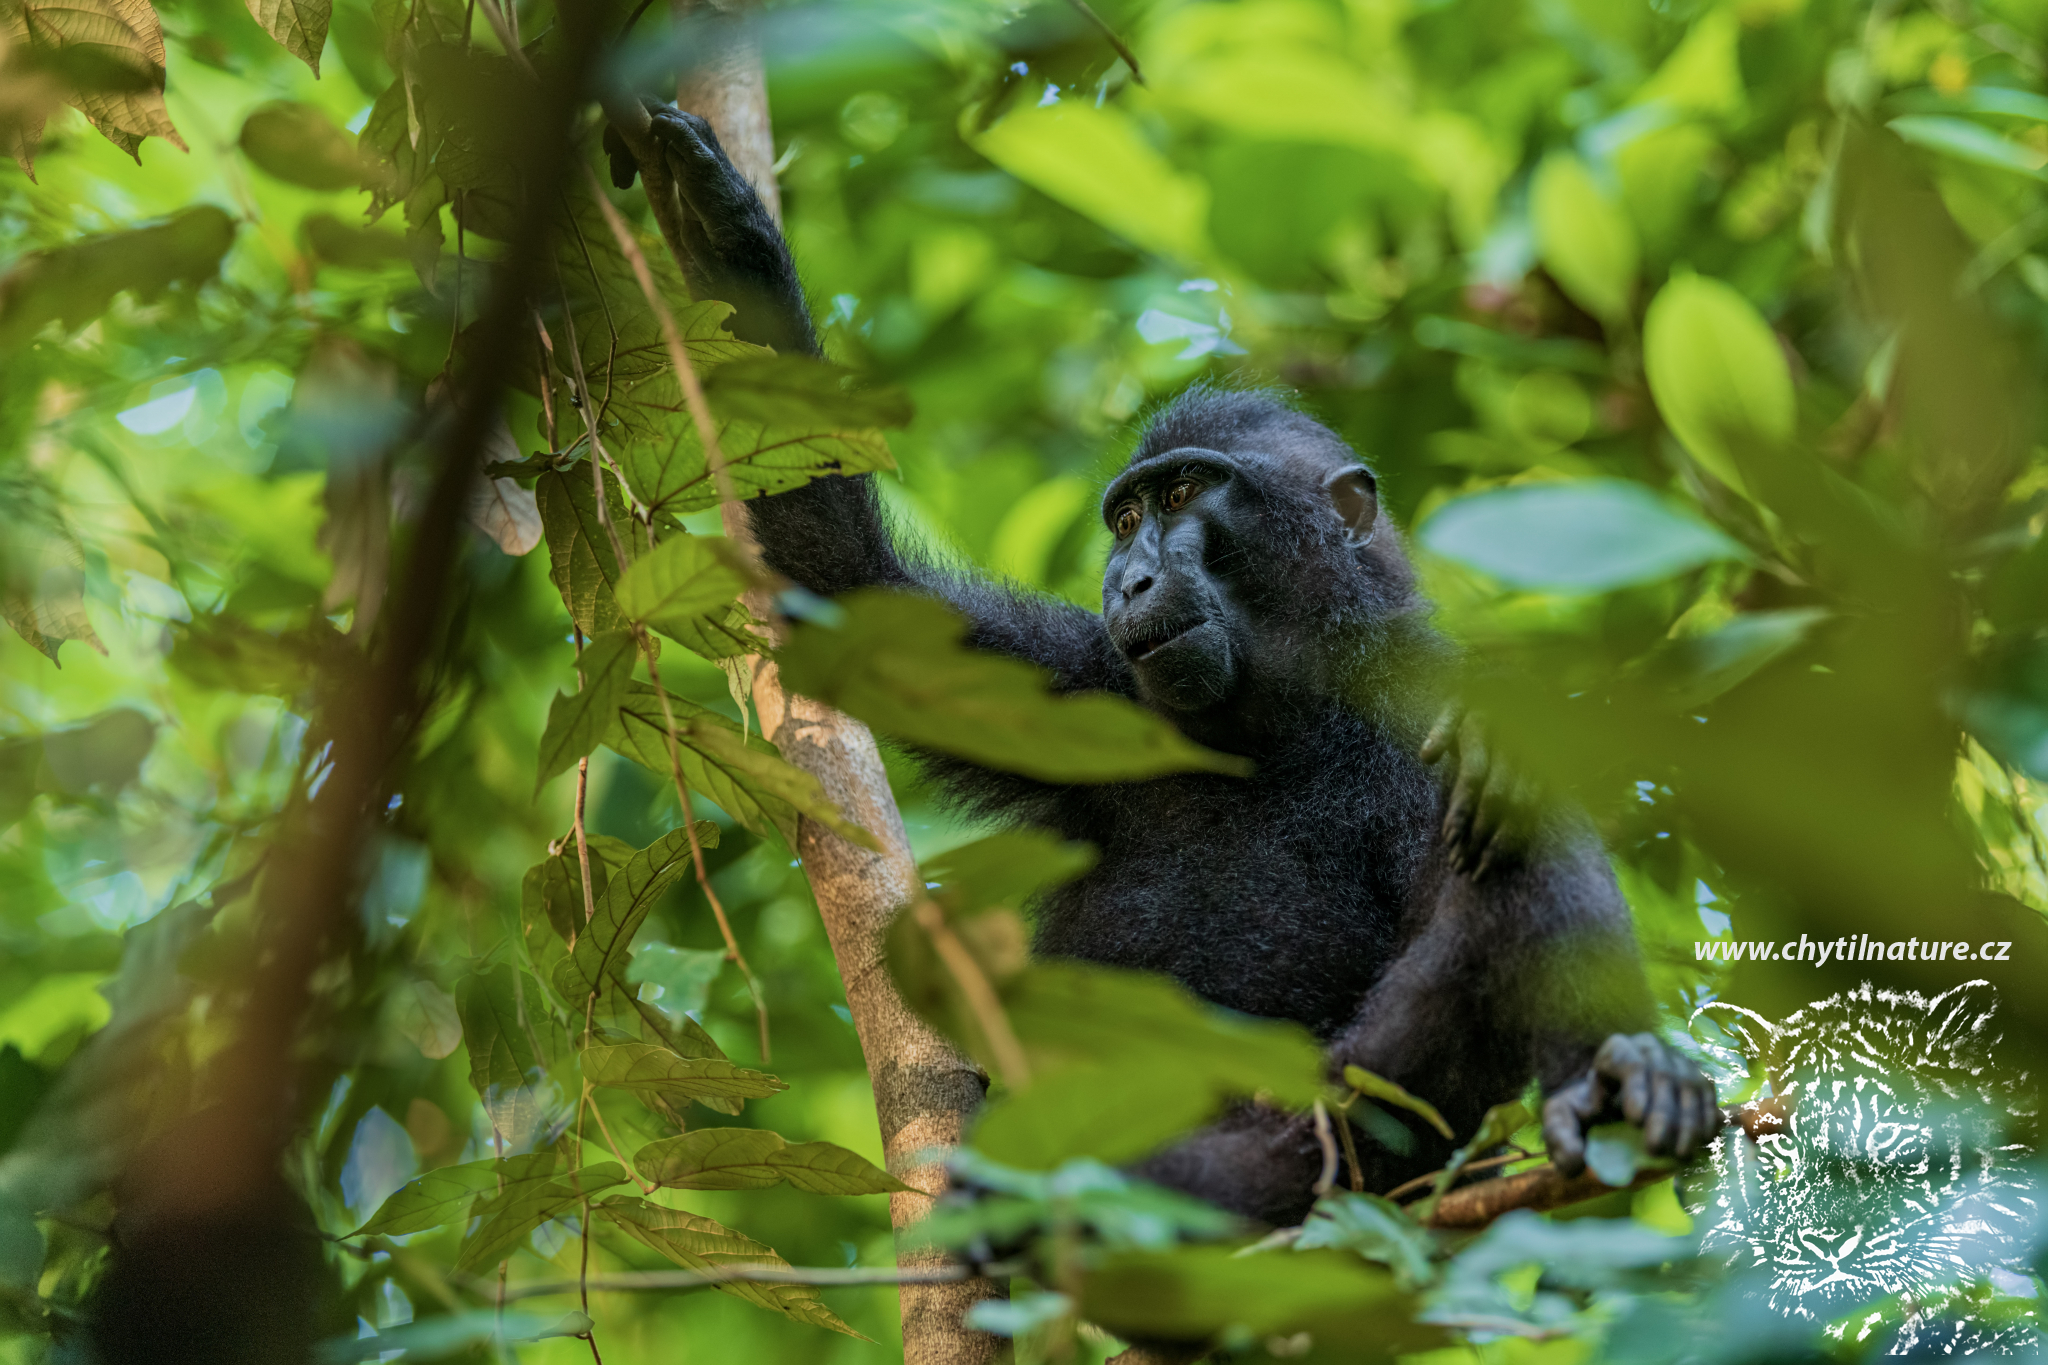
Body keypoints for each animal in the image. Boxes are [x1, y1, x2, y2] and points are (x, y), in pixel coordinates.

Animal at [608, 104, 1720, 1227]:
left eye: (1186, 495)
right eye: (1127, 516)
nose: (1131, 577)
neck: (1282, 720)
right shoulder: (1086, 679)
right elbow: (856, 587)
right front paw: (720, 228)